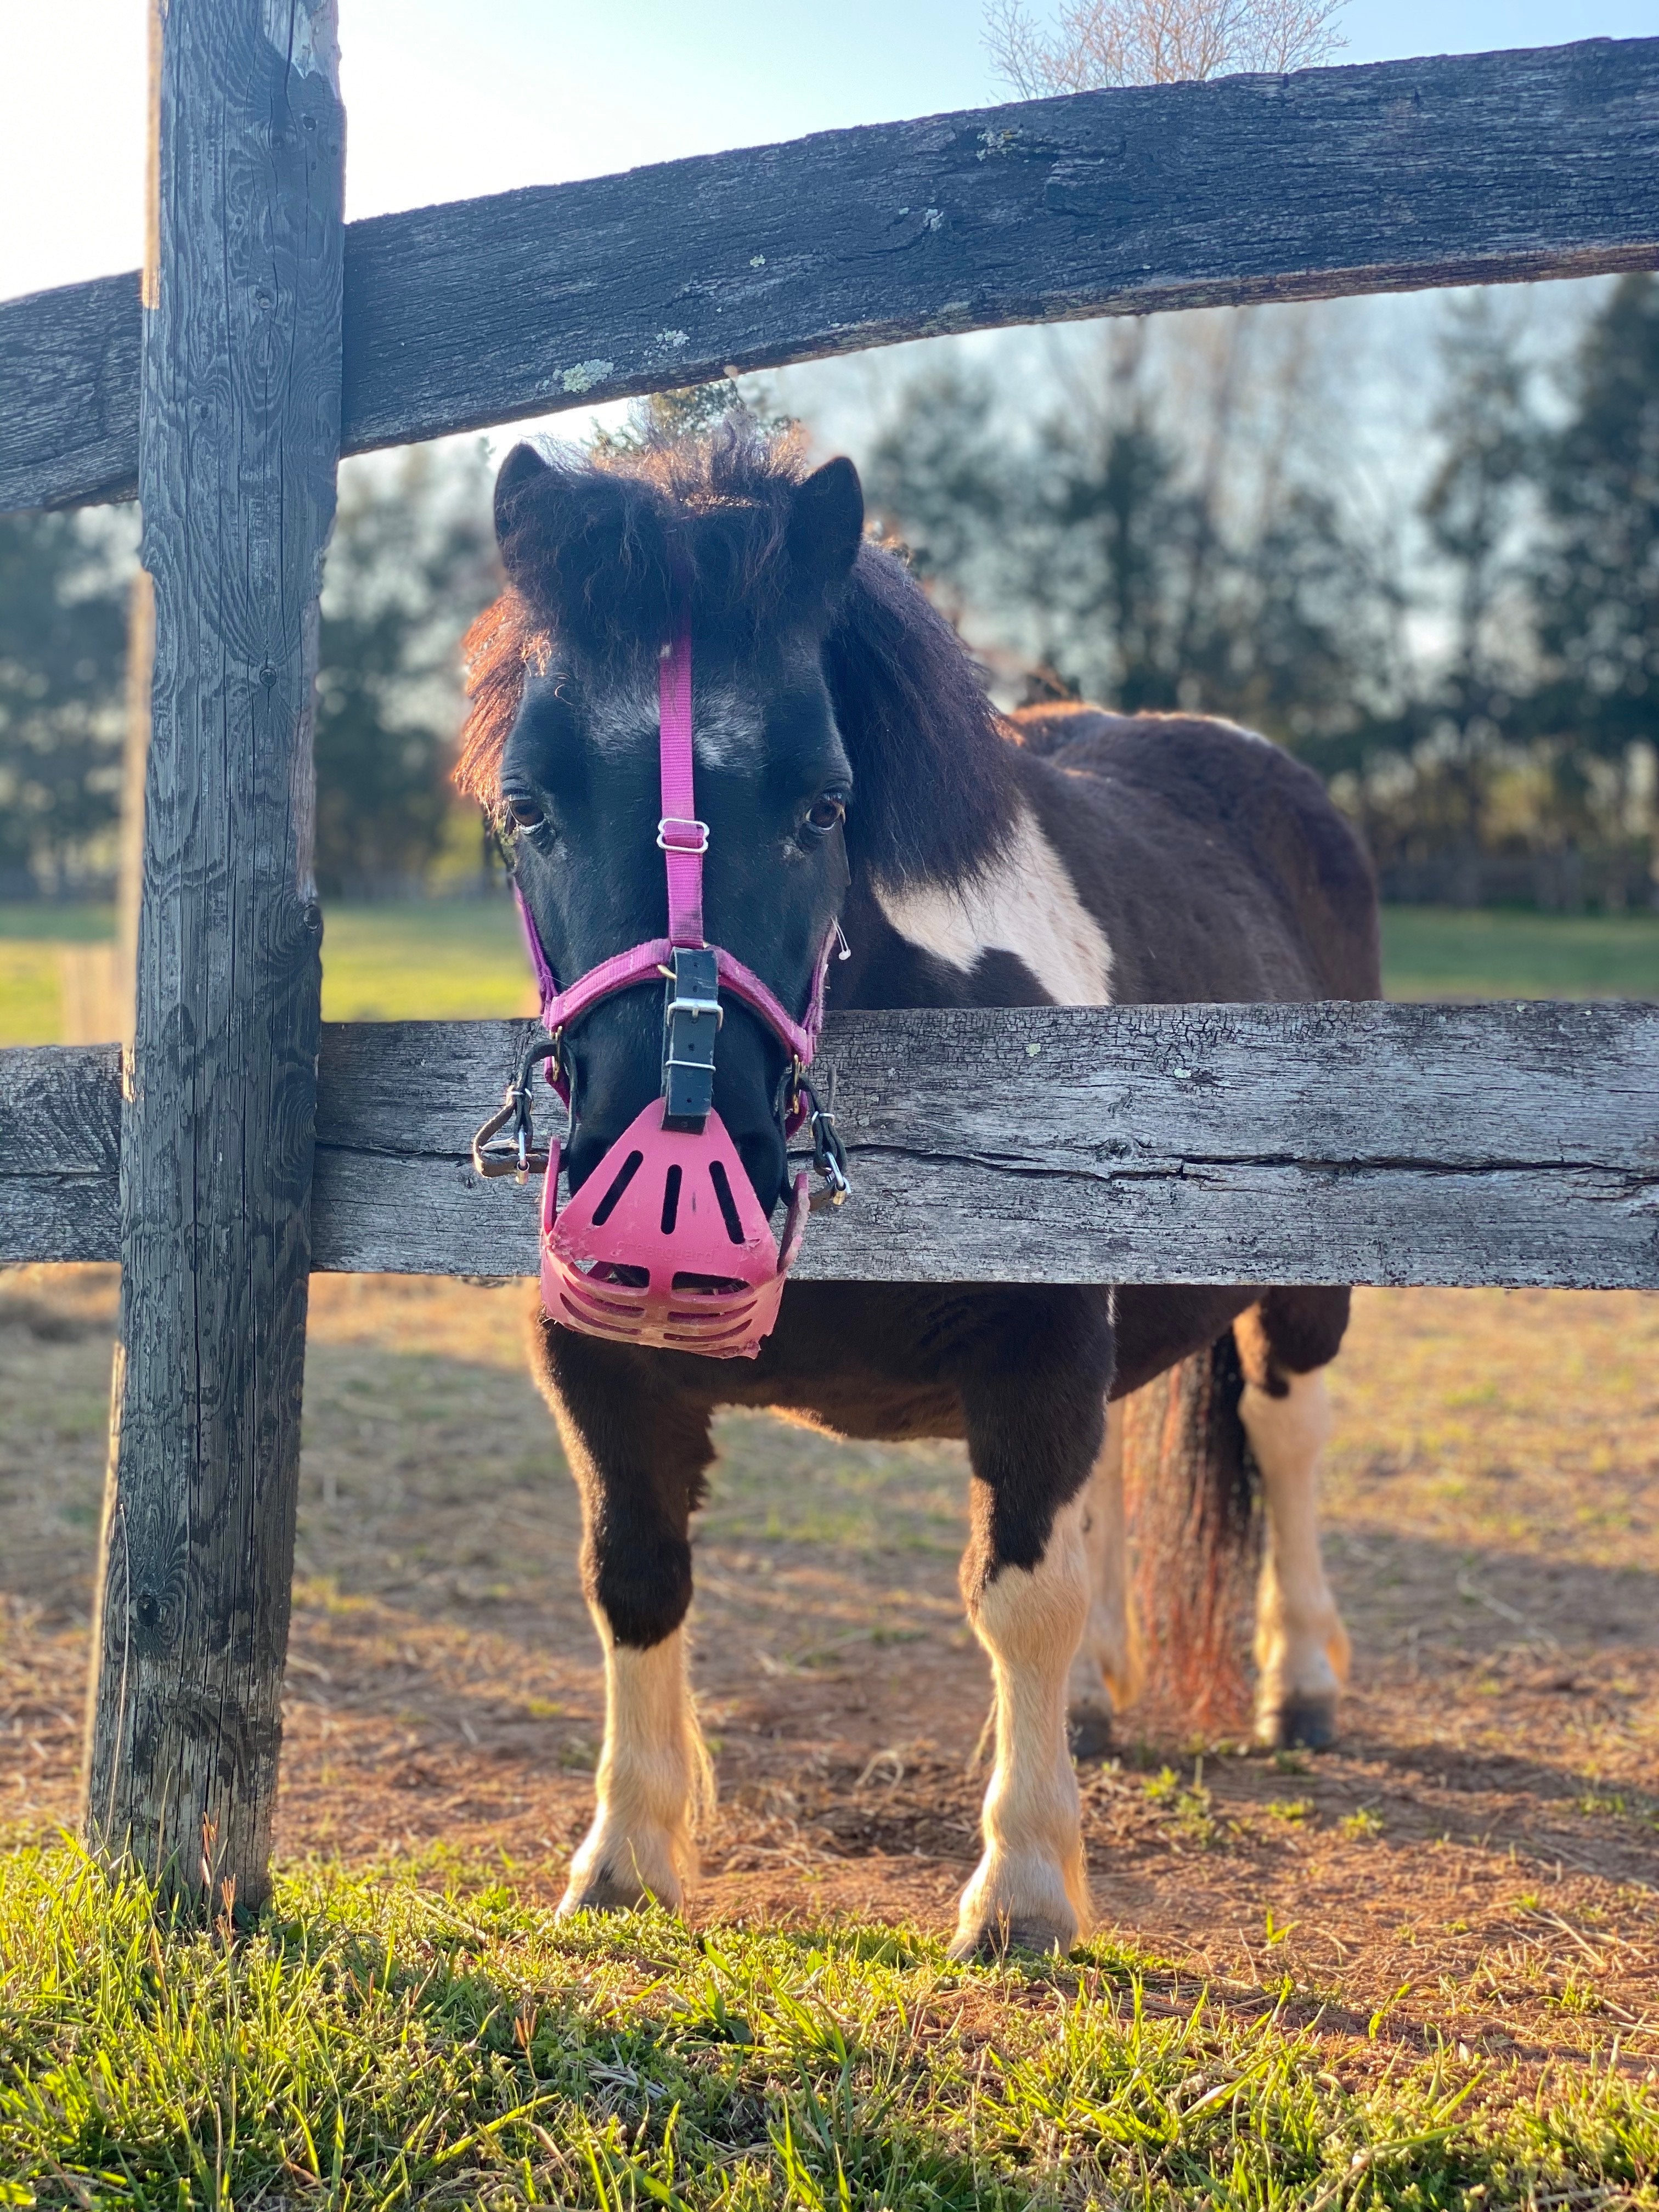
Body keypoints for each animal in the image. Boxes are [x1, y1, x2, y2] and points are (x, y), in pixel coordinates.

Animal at [455, 418, 1380, 1955]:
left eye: (823, 804)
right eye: (527, 808)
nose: (661, 1199)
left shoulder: (1041, 1345)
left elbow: (1020, 1598)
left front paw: (1024, 1888)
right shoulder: (601, 1367)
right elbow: (633, 1578)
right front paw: (626, 1857)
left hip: (1306, 1285)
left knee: (1289, 1436)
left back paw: (1298, 1682)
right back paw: (1098, 1707)